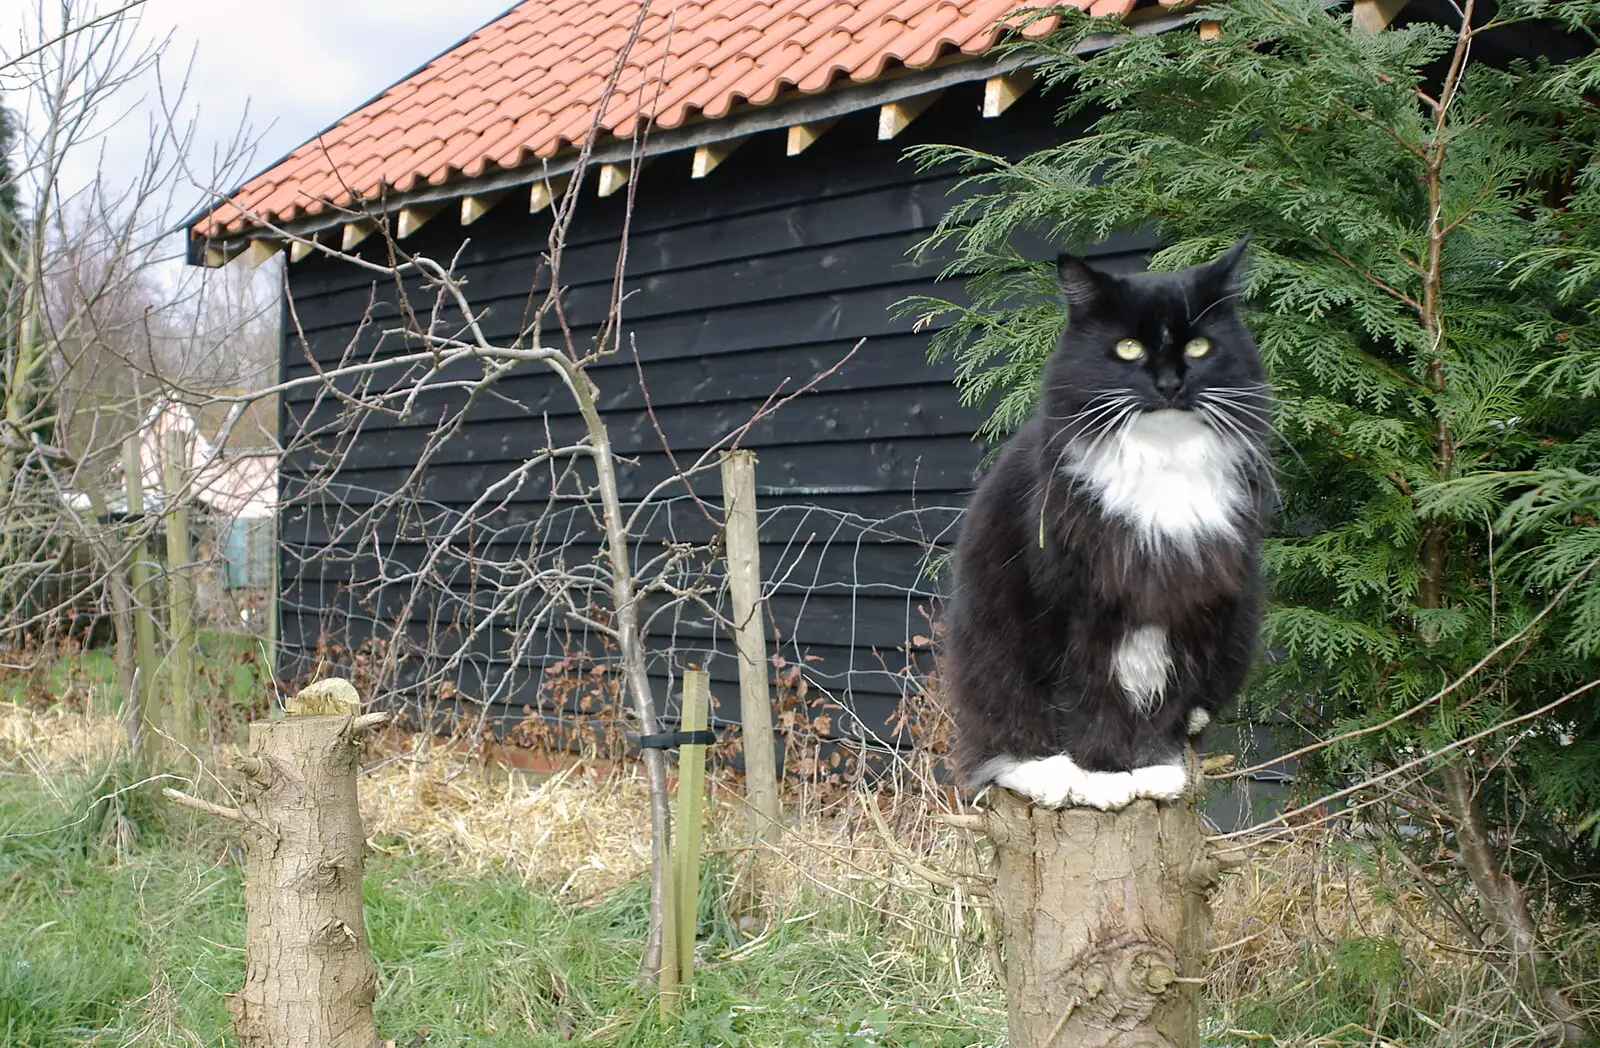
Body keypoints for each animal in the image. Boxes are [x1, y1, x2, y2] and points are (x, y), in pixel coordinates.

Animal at [940, 240, 1267, 812]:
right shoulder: (1076, 612)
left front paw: (1155, 771)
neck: (1163, 460)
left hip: (1239, 626)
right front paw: (1104, 779)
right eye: (1129, 348)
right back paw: (1051, 778)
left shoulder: (1191, 603)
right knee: (1001, 744)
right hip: (991, 655)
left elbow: (1168, 698)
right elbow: (1092, 699)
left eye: (1199, 345)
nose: (1170, 383)